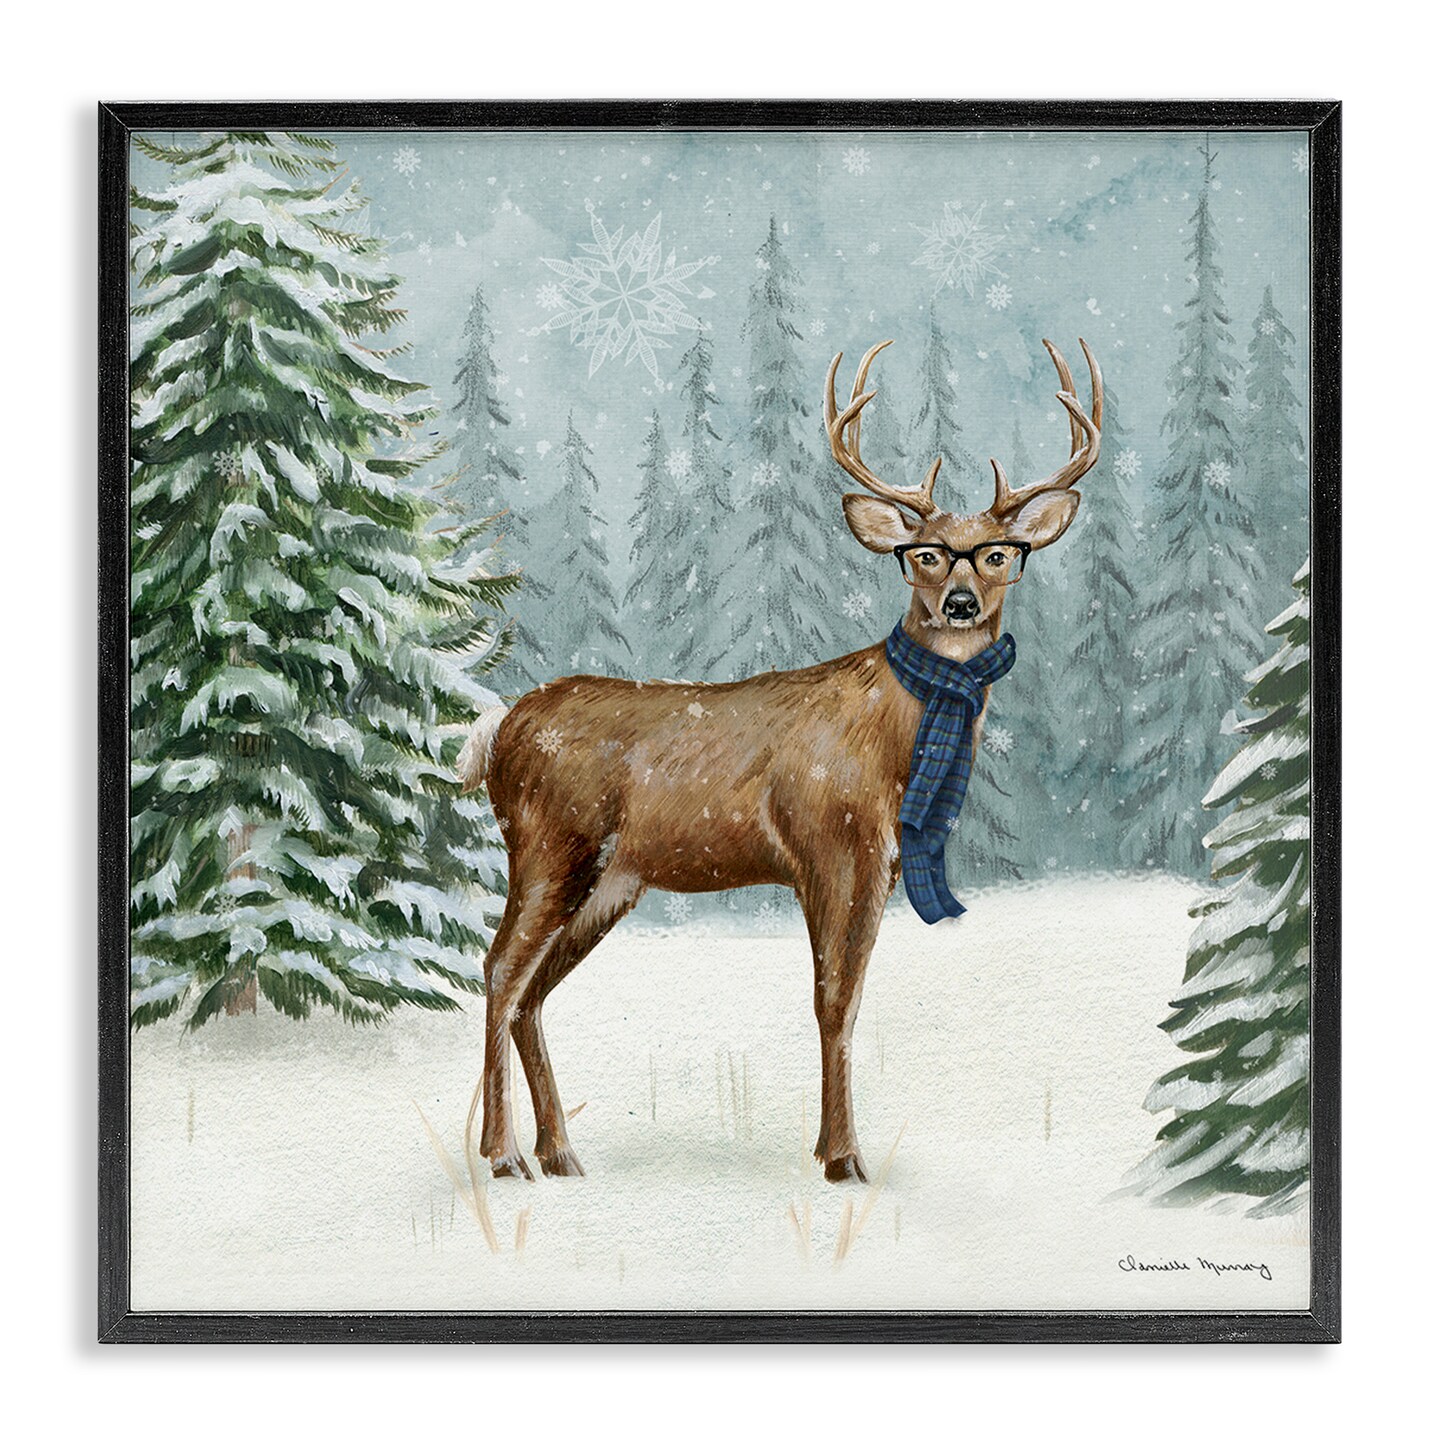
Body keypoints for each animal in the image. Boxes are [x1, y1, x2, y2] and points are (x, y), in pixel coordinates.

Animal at [457, 337, 1102, 1183]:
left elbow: (850, 999)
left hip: (612, 877)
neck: (889, 739)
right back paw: (502, 1157)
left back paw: (560, 1152)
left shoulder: (879, 864)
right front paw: (843, 1158)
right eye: (925, 555)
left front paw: (837, 1149)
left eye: (998, 554)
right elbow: (831, 1000)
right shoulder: (826, 845)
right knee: (499, 970)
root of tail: (500, 727)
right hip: (549, 842)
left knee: (533, 989)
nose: (960, 605)